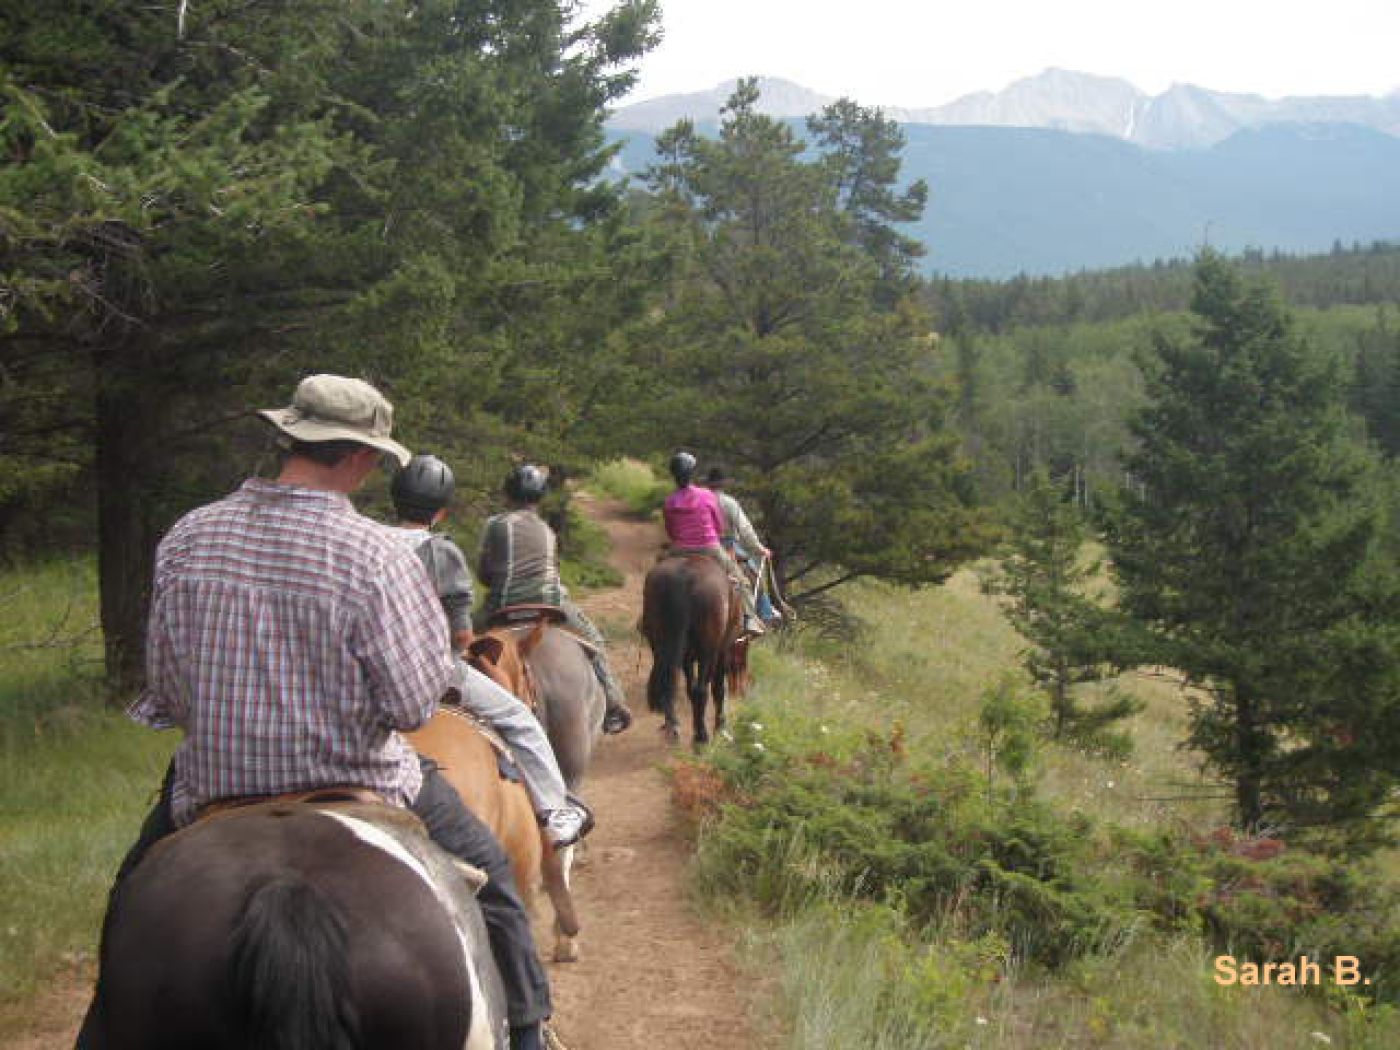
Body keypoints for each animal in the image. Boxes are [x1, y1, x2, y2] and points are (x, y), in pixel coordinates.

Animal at [641, 560, 744, 750]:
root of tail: (683, 578)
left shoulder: (686, 658)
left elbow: (689, 688)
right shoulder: (722, 651)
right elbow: (718, 688)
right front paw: (720, 727)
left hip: (662, 645)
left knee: (669, 682)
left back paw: (672, 726)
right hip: (707, 651)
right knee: (701, 690)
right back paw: (701, 737)